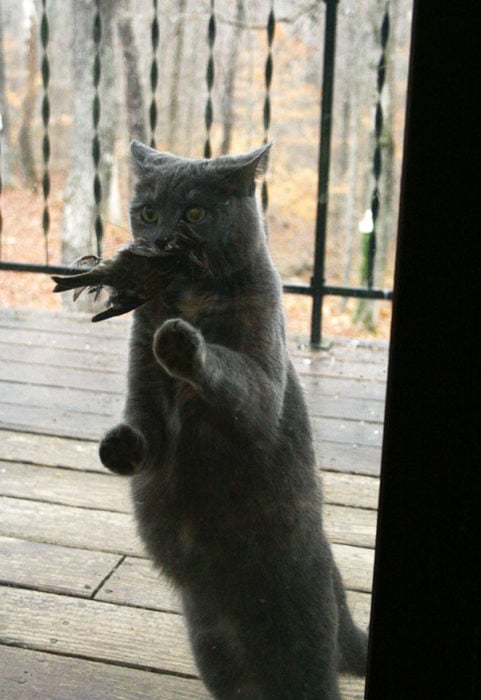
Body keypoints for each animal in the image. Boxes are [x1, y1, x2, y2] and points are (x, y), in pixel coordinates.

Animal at [99, 142, 366, 700]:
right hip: (213, 646)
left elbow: (232, 371)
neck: (190, 298)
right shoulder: (144, 388)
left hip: (303, 642)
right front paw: (119, 447)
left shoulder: (262, 390)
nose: (160, 240)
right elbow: (143, 426)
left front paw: (184, 343)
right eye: (148, 212)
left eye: (195, 213)